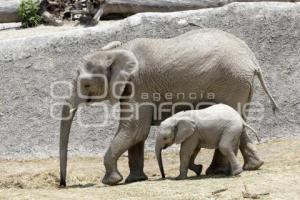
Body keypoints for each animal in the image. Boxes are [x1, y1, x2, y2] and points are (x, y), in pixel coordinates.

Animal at [59, 28, 278, 186]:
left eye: (86, 85)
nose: (62, 184)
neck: (115, 51)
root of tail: (252, 60)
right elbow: (137, 134)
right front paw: (135, 180)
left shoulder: (139, 84)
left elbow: (134, 129)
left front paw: (111, 181)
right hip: (240, 83)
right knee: (239, 120)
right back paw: (251, 167)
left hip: (233, 81)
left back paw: (216, 172)